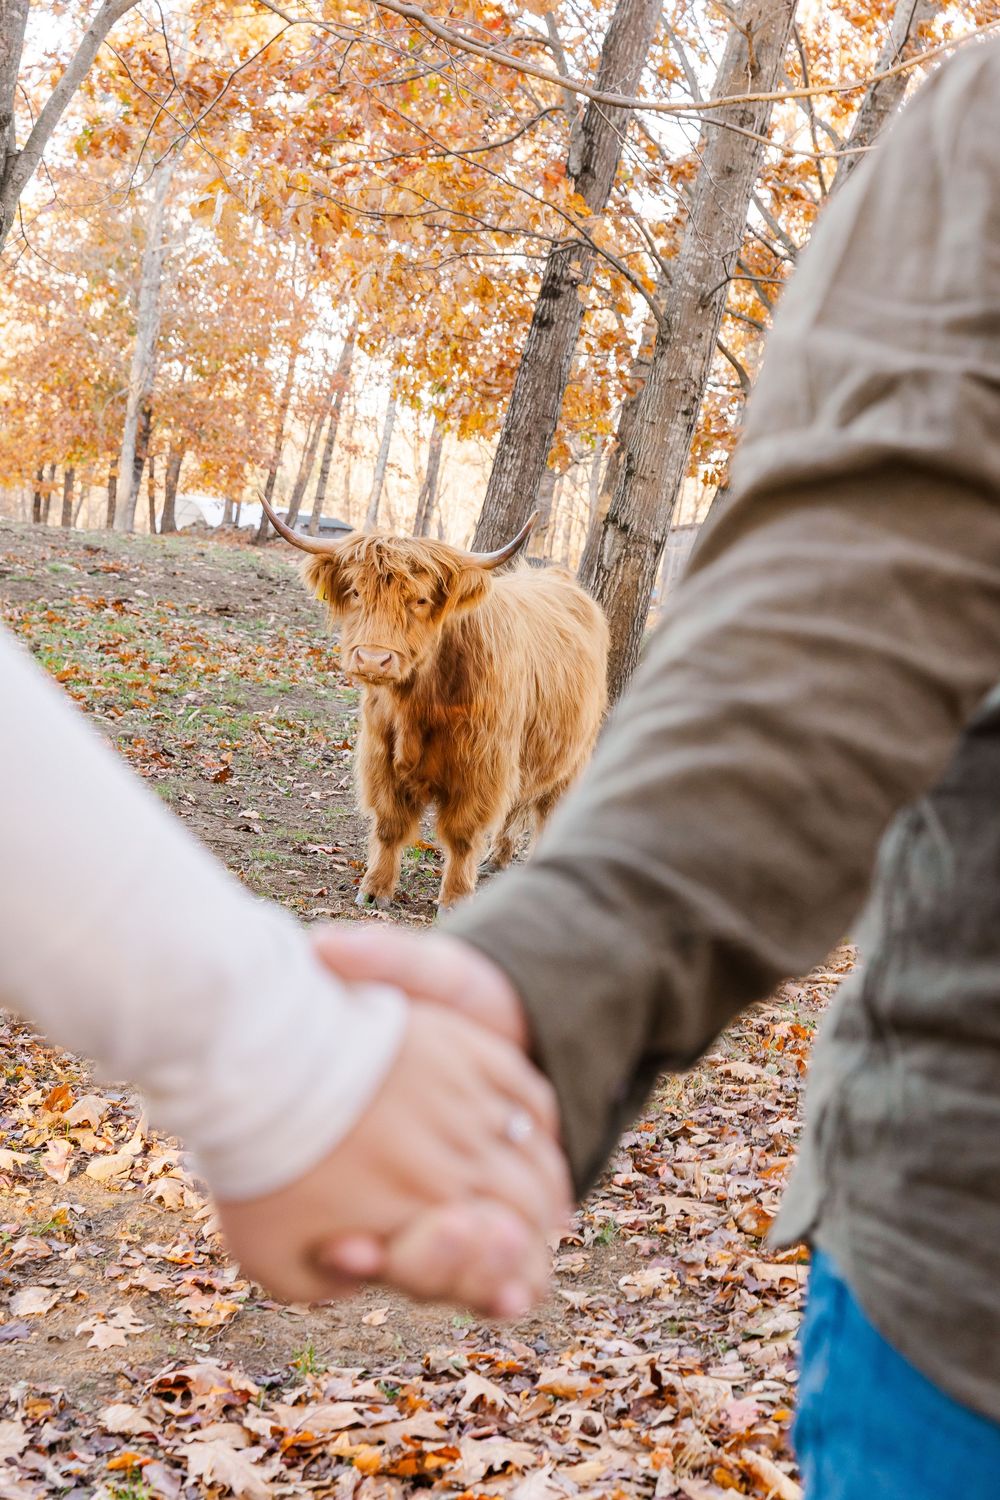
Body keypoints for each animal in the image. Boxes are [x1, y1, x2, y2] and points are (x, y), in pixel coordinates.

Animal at [259, 493, 609, 910]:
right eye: (357, 592)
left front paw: (455, 897)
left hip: (571, 757)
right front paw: (375, 889)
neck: (420, 702)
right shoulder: (381, 755)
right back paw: (496, 859)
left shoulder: (482, 764)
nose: (373, 660)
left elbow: (462, 834)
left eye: (421, 600)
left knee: (547, 810)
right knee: (515, 805)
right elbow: (390, 824)